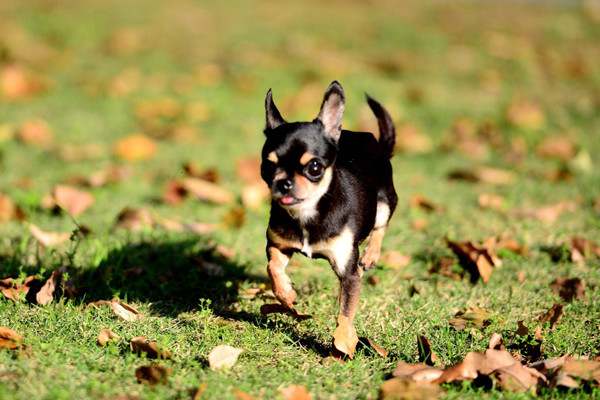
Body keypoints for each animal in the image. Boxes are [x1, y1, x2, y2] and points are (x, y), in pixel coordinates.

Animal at [258, 80, 396, 356]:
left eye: (314, 168)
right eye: (267, 166)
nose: (284, 183)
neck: (308, 213)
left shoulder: (348, 273)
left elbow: (345, 313)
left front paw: (342, 345)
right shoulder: (278, 245)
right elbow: (273, 268)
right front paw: (286, 294)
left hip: (385, 203)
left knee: (380, 227)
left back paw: (371, 255)